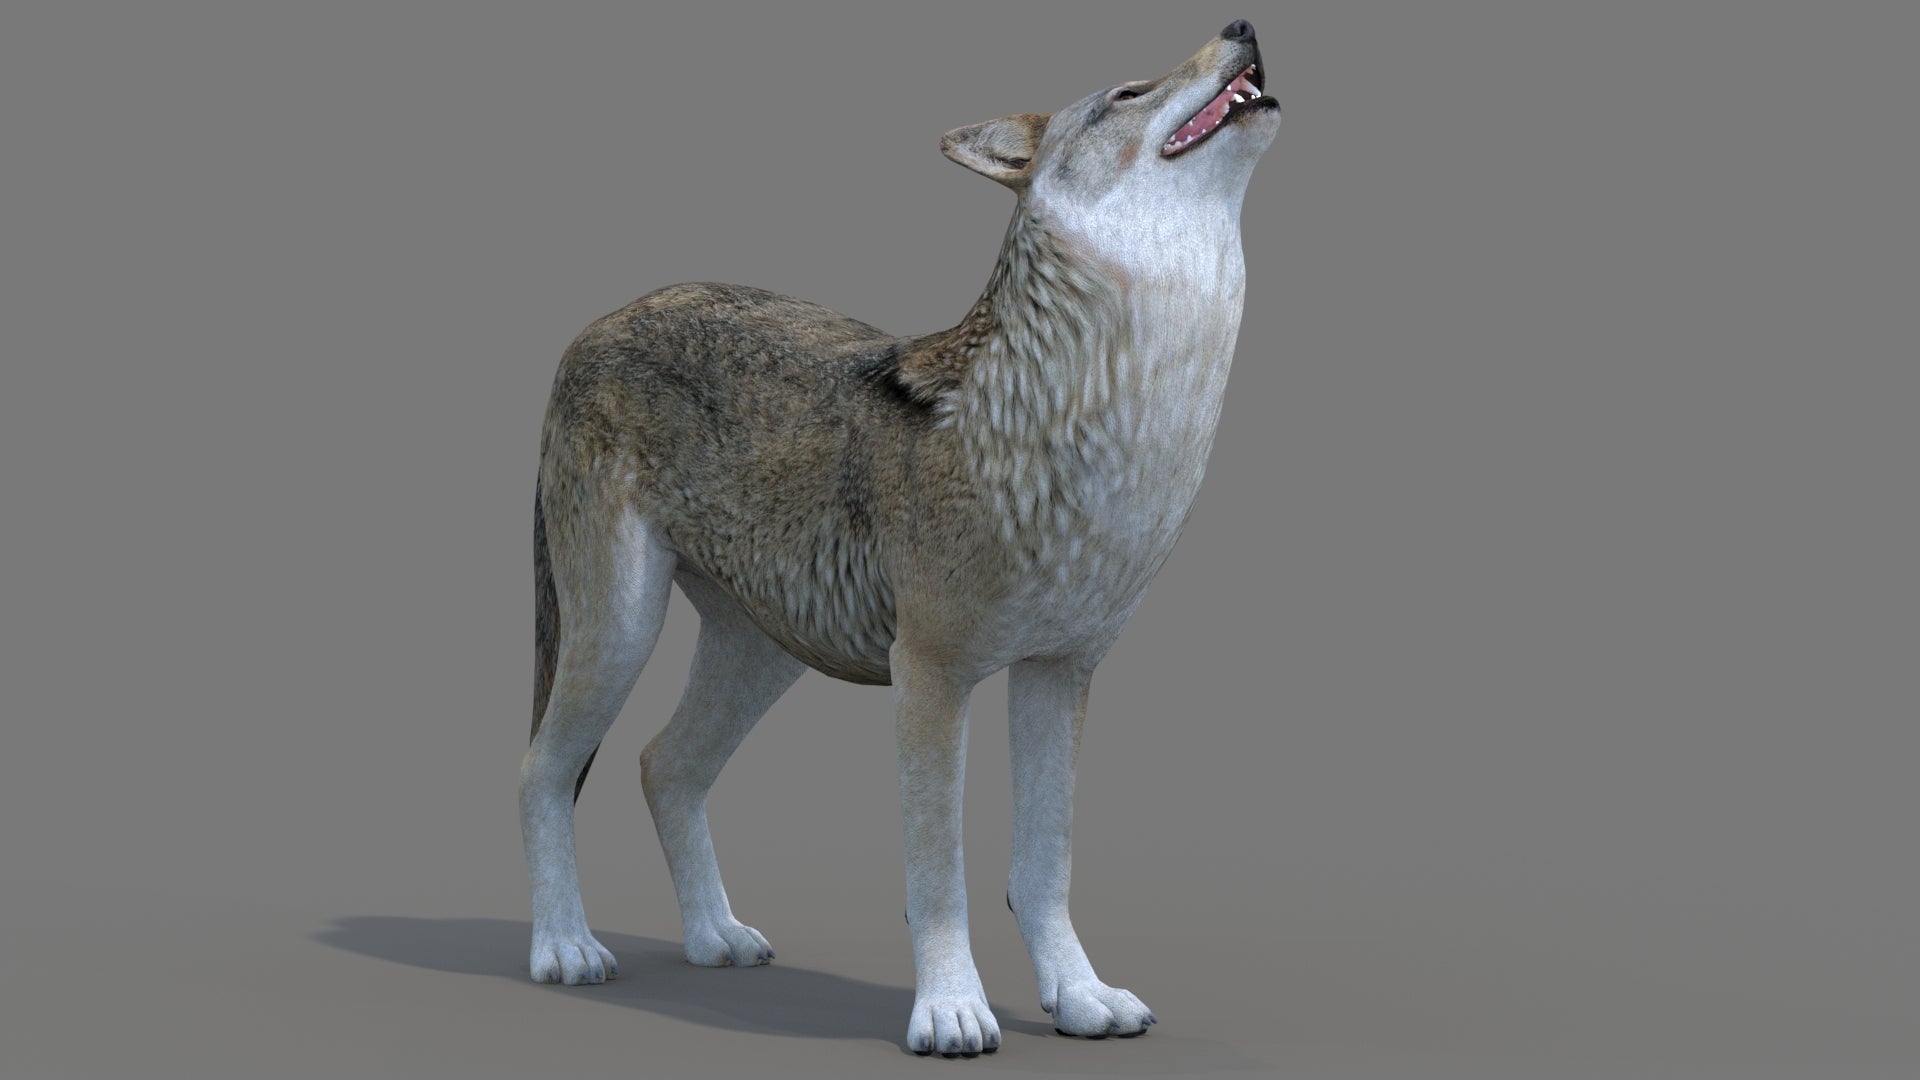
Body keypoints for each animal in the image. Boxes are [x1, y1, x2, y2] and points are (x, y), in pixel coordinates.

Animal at [520, 20, 1280, 1056]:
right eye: (1126, 94)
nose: (1241, 27)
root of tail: (593, 327)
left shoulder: (1062, 673)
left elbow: (1045, 865)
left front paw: (1080, 997)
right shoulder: (930, 676)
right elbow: (937, 871)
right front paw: (952, 1010)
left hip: (763, 656)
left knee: (663, 766)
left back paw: (716, 937)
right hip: (620, 634)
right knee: (544, 771)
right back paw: (563, 947)